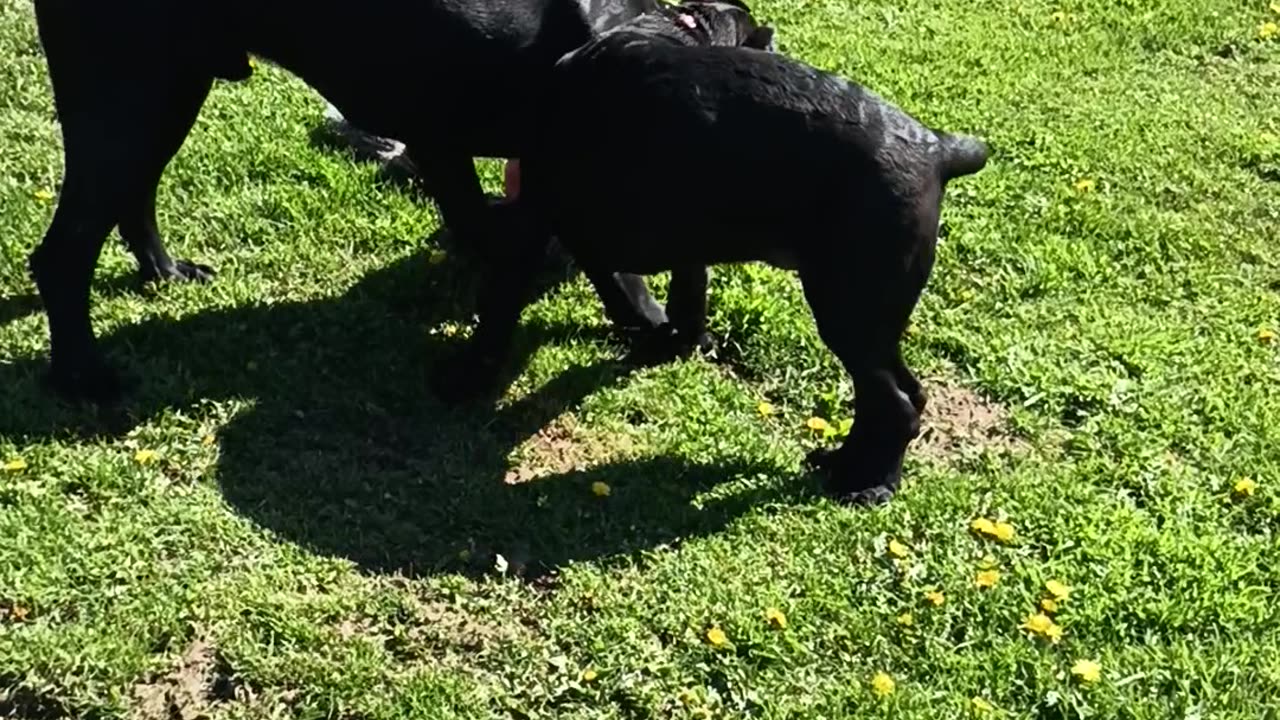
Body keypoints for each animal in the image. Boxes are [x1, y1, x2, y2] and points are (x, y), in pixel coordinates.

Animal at [24, 0, 762, 399]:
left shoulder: (443, 145)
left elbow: (501, 230)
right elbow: (597, 264)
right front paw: (656, 322)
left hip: (162, 93)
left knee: (129, 201)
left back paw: (164, 272)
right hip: (133, 96)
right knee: (62, 254)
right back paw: (83, 376)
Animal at [445, 12, 993, 504]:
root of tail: (939, 148)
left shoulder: (537, 219)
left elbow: (502, 307)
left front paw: (468, 376)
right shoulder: (673, 243)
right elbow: (671, 296)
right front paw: (667, 339)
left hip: (848, 309)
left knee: (895, 405)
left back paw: (871, 484)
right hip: (871, 320)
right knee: (902, 394)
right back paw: (844, 463)